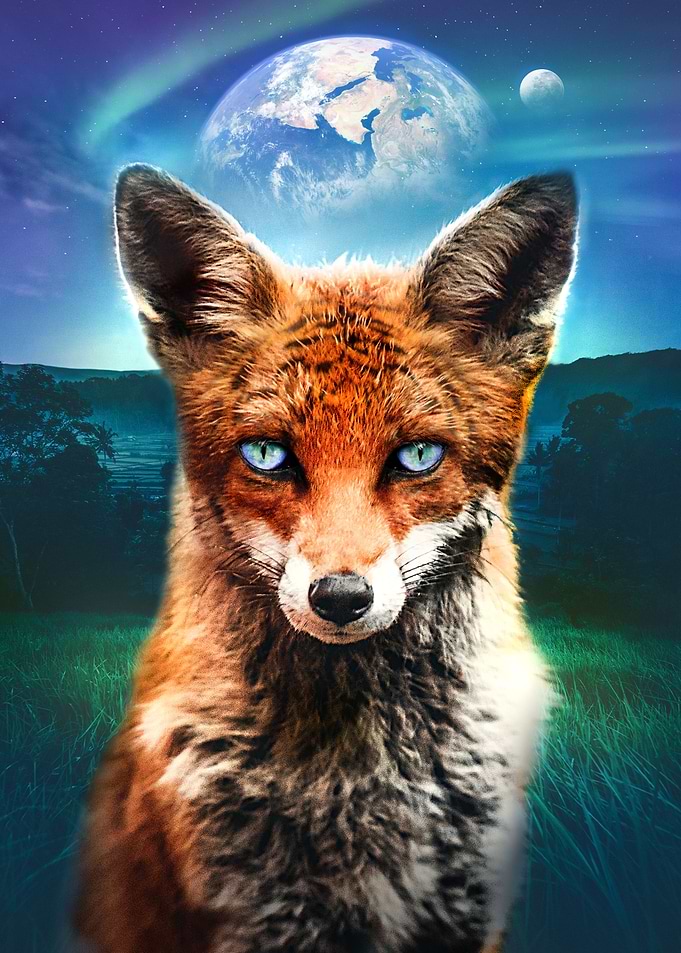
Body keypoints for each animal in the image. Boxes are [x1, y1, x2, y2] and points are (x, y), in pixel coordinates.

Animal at [75, 164, 577, 953]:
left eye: (417, 456)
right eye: (267, 454)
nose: (340, 598)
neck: (364, 784)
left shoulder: (468, 906)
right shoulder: (257, 916)